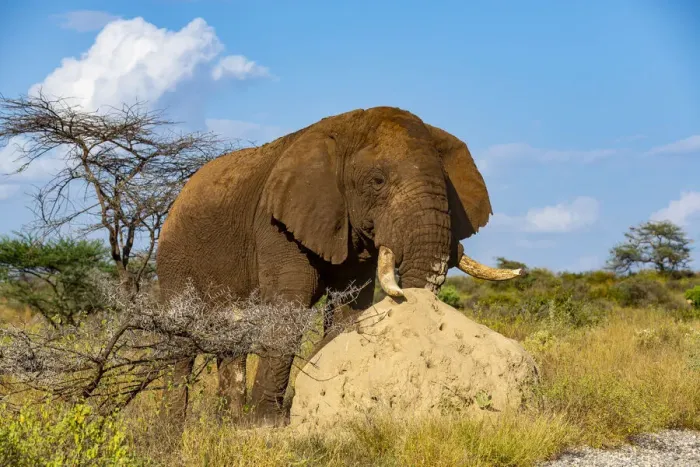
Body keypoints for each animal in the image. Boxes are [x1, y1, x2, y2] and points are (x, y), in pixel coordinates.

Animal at [155, 106, 522, 426]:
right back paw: (173, 431)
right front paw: (263, 423)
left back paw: (225, 424)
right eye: (377, 181)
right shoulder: (275, 225)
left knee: (231, 343)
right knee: (182, 343)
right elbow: (289, 305)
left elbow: (348, 308)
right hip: (174, 258)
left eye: (447, 188)